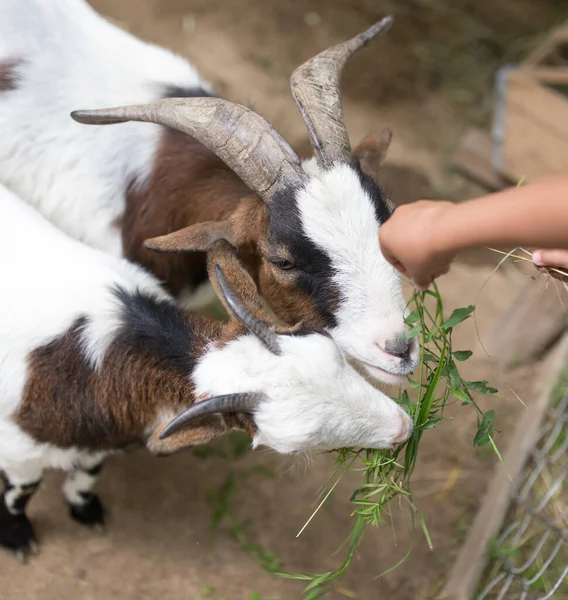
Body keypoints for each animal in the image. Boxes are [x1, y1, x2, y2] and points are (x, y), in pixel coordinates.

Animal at [0, 184, 410, 564]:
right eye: (295, 444)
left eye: (333, 354)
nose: (404, 427)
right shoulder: (18, 448)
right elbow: (23, 490)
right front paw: (17, 537)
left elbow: (90, 466)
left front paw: (85, 508)